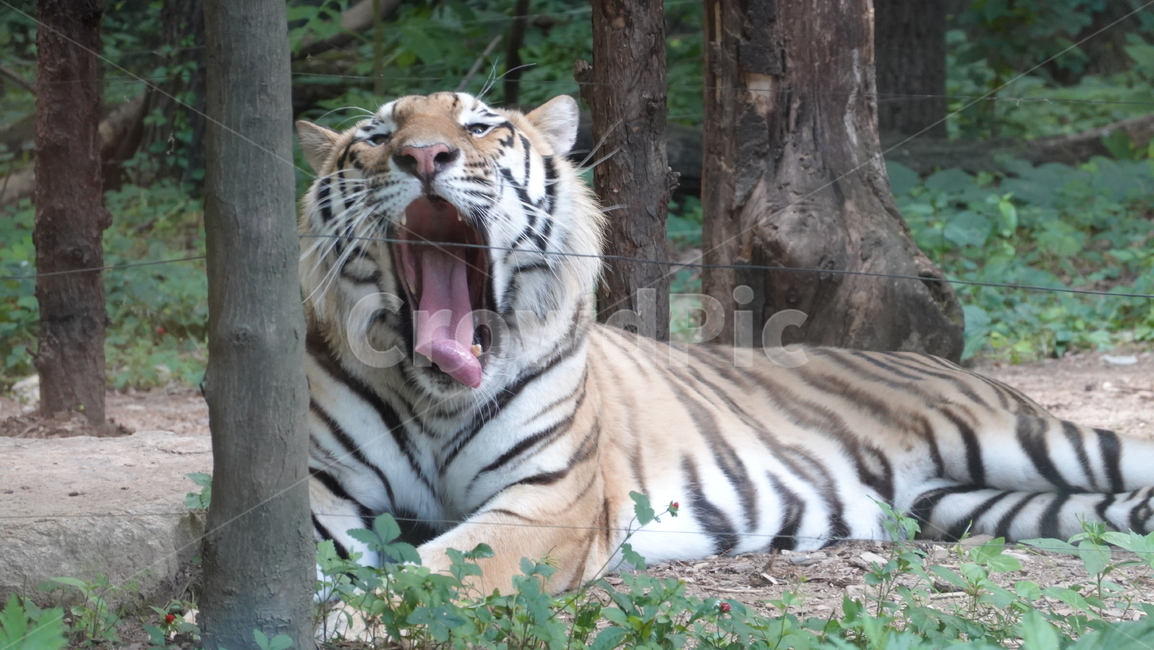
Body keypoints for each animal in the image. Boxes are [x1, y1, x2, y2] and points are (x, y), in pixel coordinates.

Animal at [295, 91, 1154, 595]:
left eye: (477, 128)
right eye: (378, 135)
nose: (423, 155)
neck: (436, 393)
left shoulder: (546, 502)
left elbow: (432, 577)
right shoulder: (323, 496)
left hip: (1023, 438)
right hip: (970, 504)